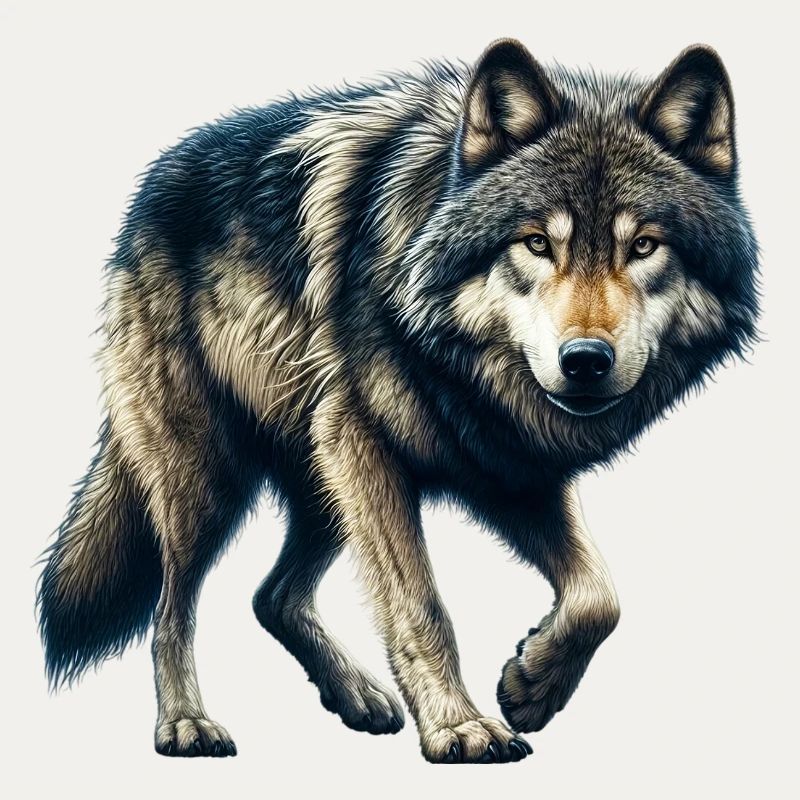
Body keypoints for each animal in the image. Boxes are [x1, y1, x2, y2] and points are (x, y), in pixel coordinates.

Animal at [37, 39, 759, 763]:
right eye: (536, 243)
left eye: (643, 246)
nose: (585, 361)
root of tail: (150, 185)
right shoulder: (368, 443)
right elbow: (420, 605)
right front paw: (459, 727)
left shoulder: (508, 468)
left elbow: (600, 596)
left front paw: (533, 686)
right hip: (214, 480)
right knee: (170, 609)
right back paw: (186, 723)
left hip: (324, 482)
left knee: (272, 597)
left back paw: (354, 694)